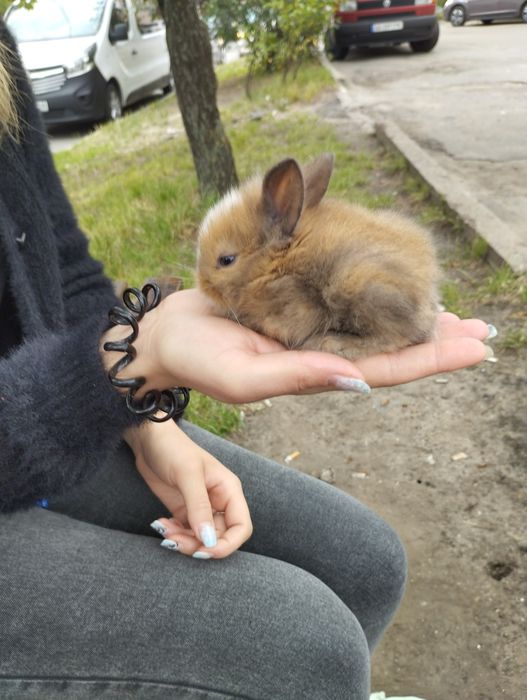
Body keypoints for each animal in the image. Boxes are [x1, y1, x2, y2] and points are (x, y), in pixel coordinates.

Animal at [196, 153, 440, 360]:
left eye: (226, 260)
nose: (202, 285)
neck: (275, 263)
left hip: (362, 285)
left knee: (398, 335)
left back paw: (332, 343)